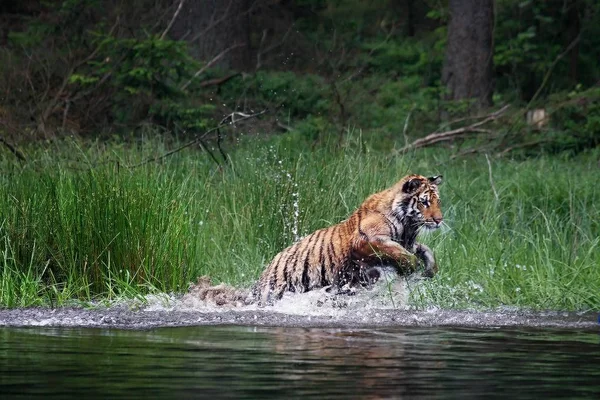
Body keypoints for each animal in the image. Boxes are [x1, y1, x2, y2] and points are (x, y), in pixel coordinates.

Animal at [251, 173, 442, 304]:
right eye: (424, 202)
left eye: (437, 202)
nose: (439, 220)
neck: (408, 227)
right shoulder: (366, 240)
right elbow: (397, 252)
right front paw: (412, 268)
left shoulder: (409, 243)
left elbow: (426, 250)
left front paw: (429, 270)